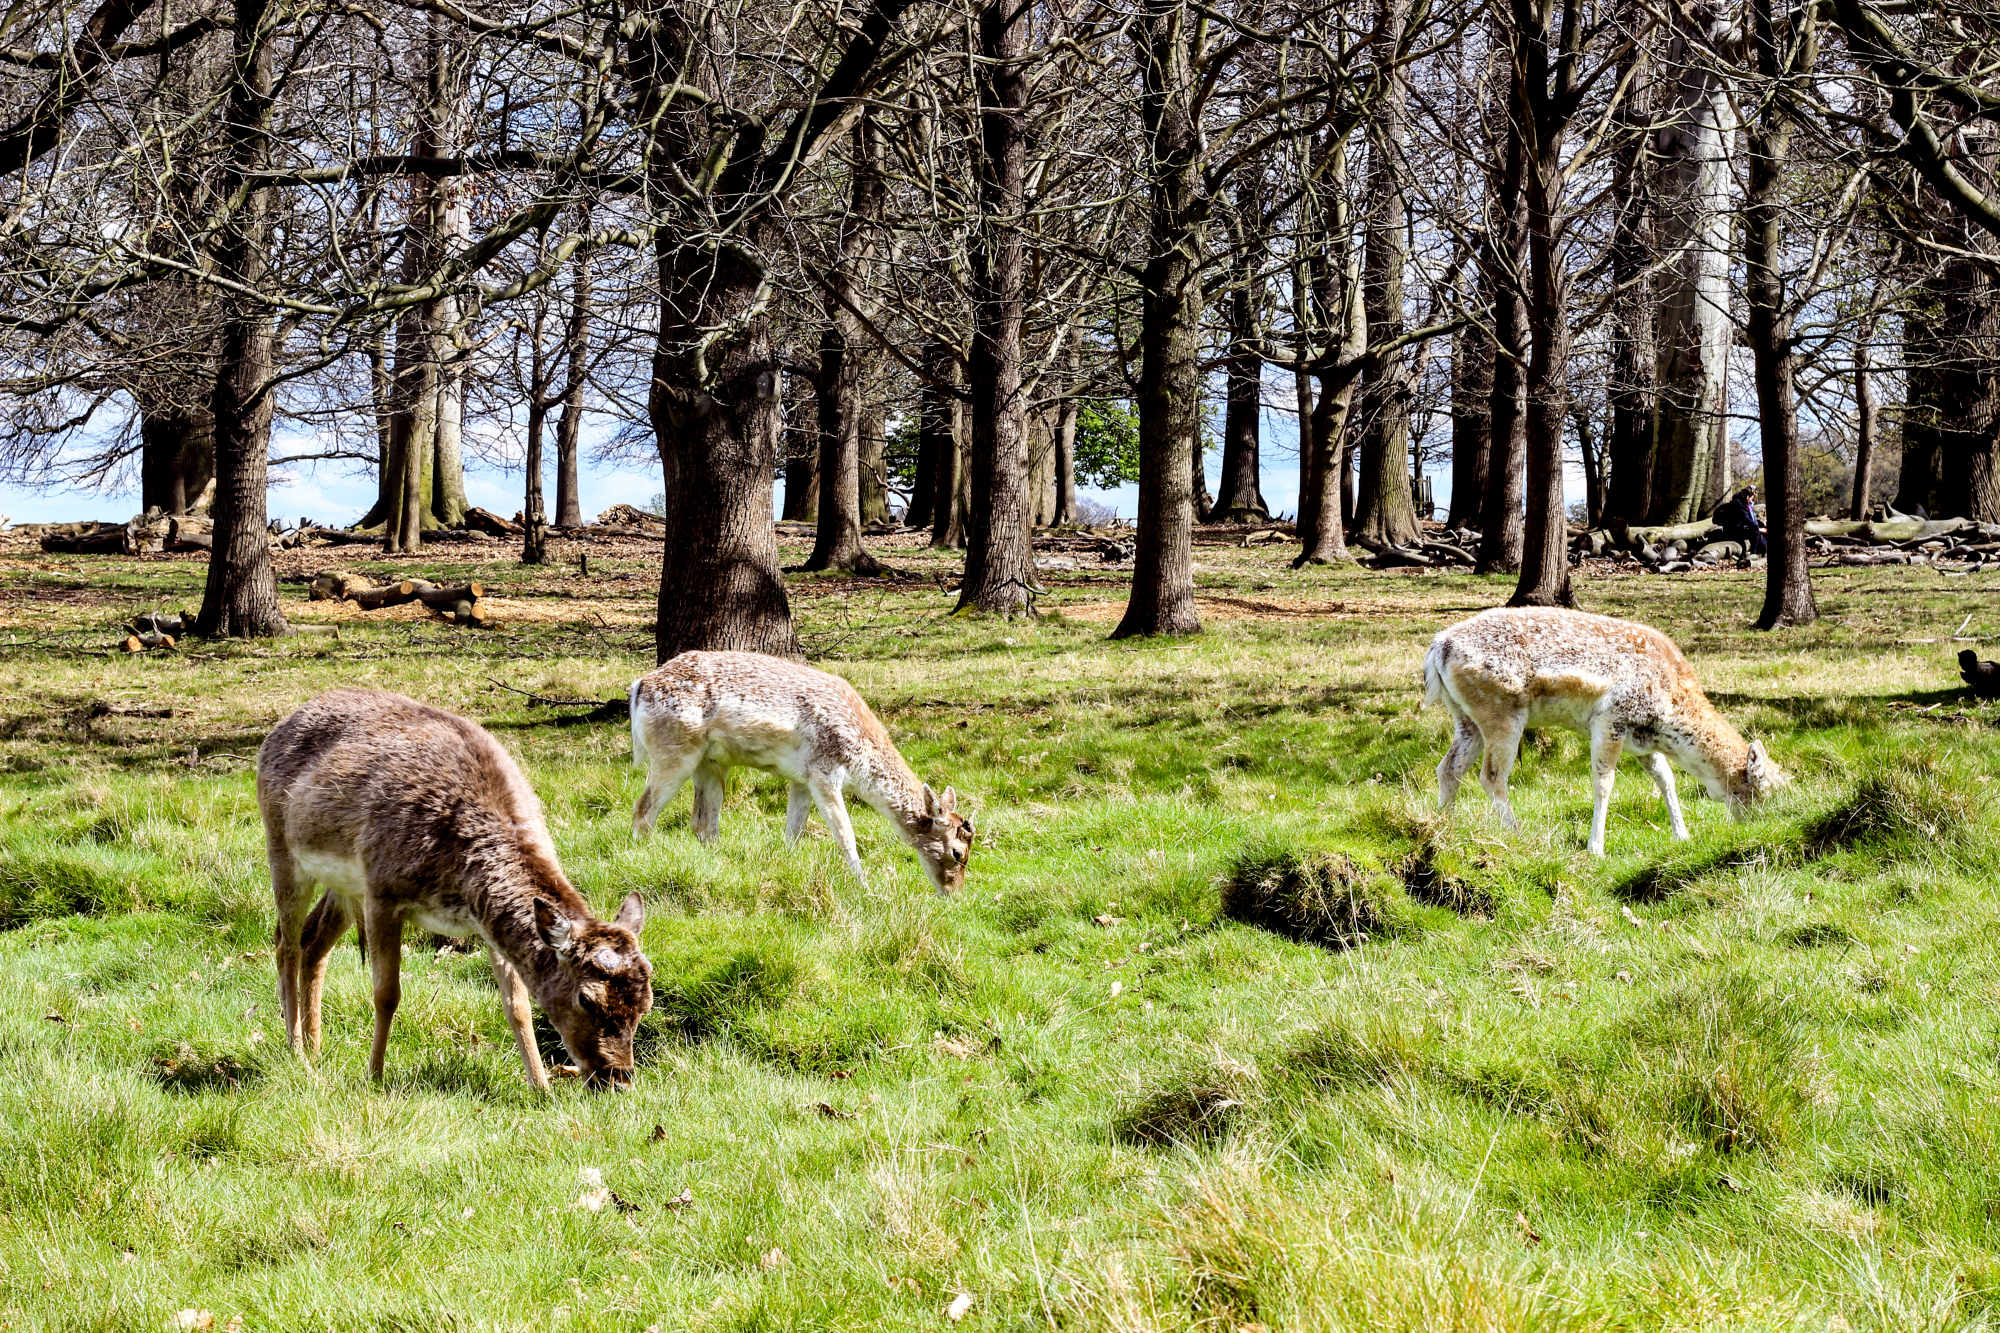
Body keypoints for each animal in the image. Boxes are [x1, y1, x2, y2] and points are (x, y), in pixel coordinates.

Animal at [258, 688, 656, 1088]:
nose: (617, 1078)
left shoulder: (486, 922)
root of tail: (276, 730)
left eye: (646, 1003)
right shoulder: (381, 890)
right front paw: (375, 1076)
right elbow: (386, 994)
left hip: (343, 885)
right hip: (281, 846)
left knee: (313, 940)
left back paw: (315, 1047)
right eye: (586, 999)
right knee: (285, 942)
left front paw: (540, 1086)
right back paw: (297, 1049)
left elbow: (517, 1005)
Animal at [624, 648, 968, 888]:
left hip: (711, 764)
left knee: (702, 823)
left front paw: (786, 866)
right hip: (674, 753)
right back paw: (642, 858)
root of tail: (639, 685)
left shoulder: (801, 779)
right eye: (958, 853)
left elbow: (794, 832)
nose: (953, 893)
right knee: (643, 810)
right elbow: (845, 835)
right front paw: (865, 887)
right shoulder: (824, 773)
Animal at [1424, 604, 1784, 852]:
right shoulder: (1610, 720)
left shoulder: (1642, 742)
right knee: (1491, 776)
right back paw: (1518, 833)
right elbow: (1604, 782)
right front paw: (1595, 848)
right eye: (1762, 791)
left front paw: (1682, 835)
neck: (1669, 711)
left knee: (1449, 768)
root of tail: (1438, 646)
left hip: (1464, 718)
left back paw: (1443, 827)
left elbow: (1665, 778)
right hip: (1501, 713)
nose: (1759, 827)